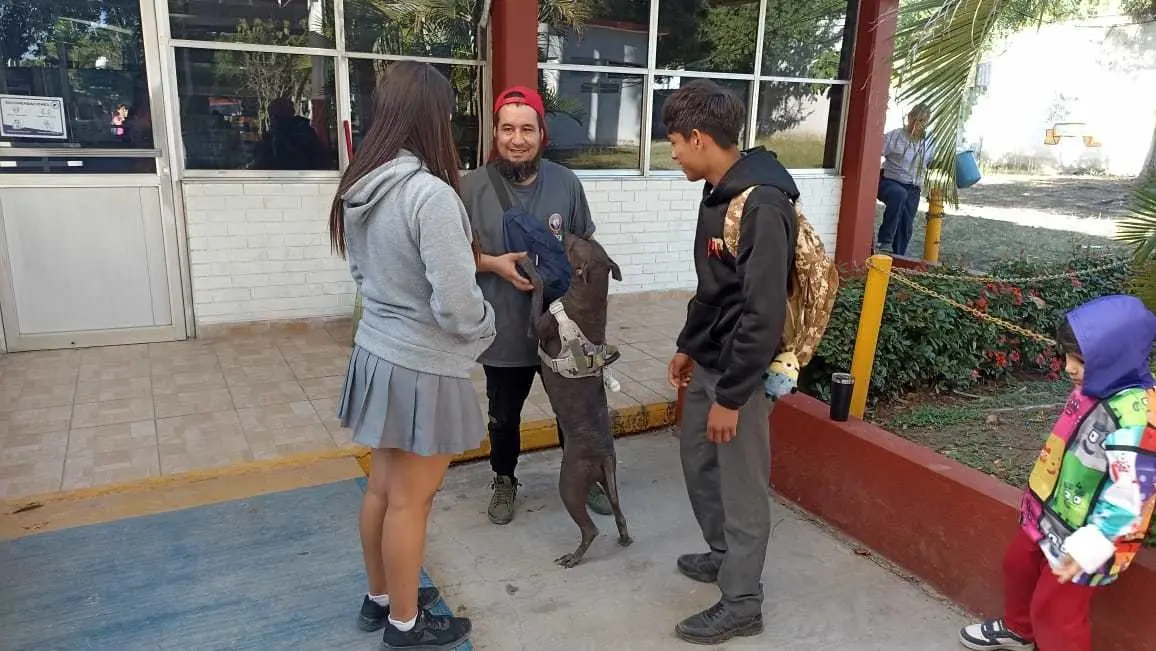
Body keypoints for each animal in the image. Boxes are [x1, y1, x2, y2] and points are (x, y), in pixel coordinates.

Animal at [522, 235, 638, 571]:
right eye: (589, 239)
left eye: (576, 245)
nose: (568, 233)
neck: (590, 295)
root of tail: (604, 457)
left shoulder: (538, 325)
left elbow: (537, 290)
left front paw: (528, 266)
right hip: (610, 483)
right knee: (619, 513)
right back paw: (623, 537)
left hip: (570, 483)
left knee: (590, 529)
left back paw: (574, 556)